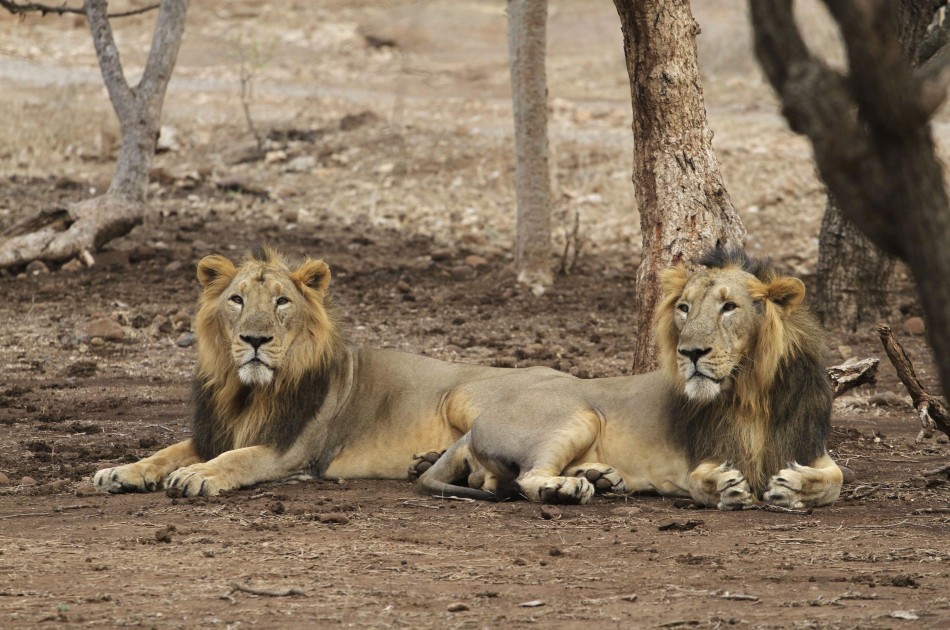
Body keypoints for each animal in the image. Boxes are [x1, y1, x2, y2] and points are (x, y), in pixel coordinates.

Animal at [420, 244, 844, 512]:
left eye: (729, 307)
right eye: (684, 308)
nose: (691, 353)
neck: (750, 393)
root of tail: (476, 426)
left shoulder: (809, 447)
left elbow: (835, 479)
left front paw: (794, 488)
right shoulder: (700, 458)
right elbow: (701, 482)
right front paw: (725, 489)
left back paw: (599, 476)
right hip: (579, 415)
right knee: (526, 479)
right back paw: (567, 489)